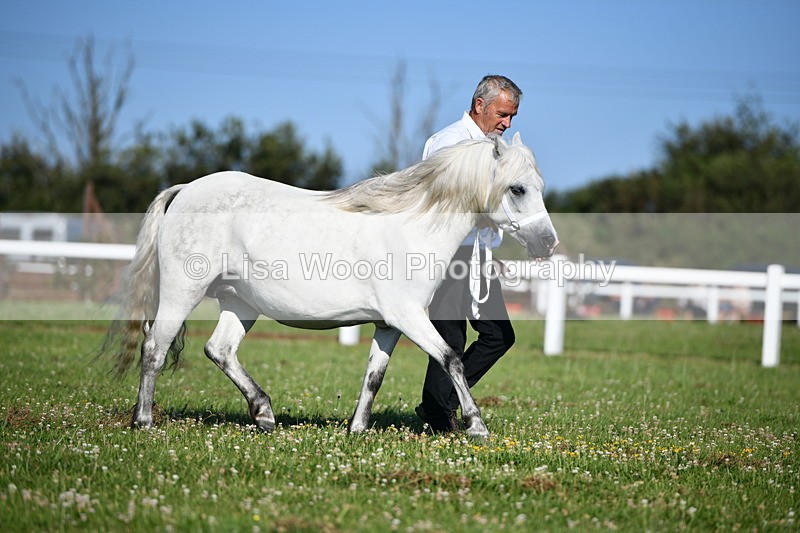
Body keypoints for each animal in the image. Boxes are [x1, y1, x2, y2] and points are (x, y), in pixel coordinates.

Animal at [104, 132, 558, 438]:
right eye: (518, 188)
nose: (548, 243)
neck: (410, 228)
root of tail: (185, 190)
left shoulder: (388, 325)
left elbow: (374, 375)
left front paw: (357, 429)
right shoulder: (409, 317)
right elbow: (452, 359)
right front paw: (475, 424)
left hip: (241, 303)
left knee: (220, 349)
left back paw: (264, 414)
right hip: (182, 292)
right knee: (155, 348)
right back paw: (143, 421)